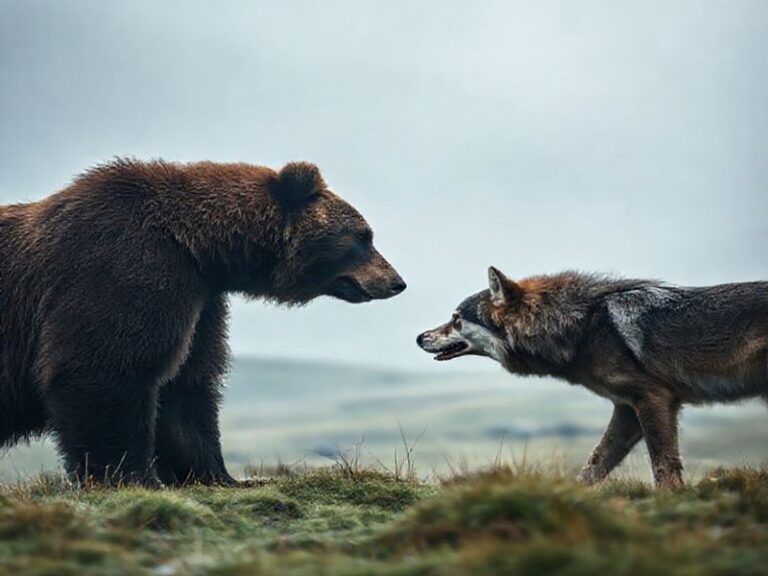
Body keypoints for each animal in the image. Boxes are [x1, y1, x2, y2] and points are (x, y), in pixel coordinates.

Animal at [0, 159, 406, 486]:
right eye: (363, 236)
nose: (396, 281)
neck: (200, 250)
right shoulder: (121, 269)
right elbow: (103, 367)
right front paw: (133, 477)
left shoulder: (200, 304)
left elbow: (186, 385)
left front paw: (219, 475)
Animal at [417, 267, 768, 488]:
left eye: (456, 319)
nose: (419, 337)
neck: (584, 327)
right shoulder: (627, 408)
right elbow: (595, 464)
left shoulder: (653, 399)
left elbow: (663, 466)